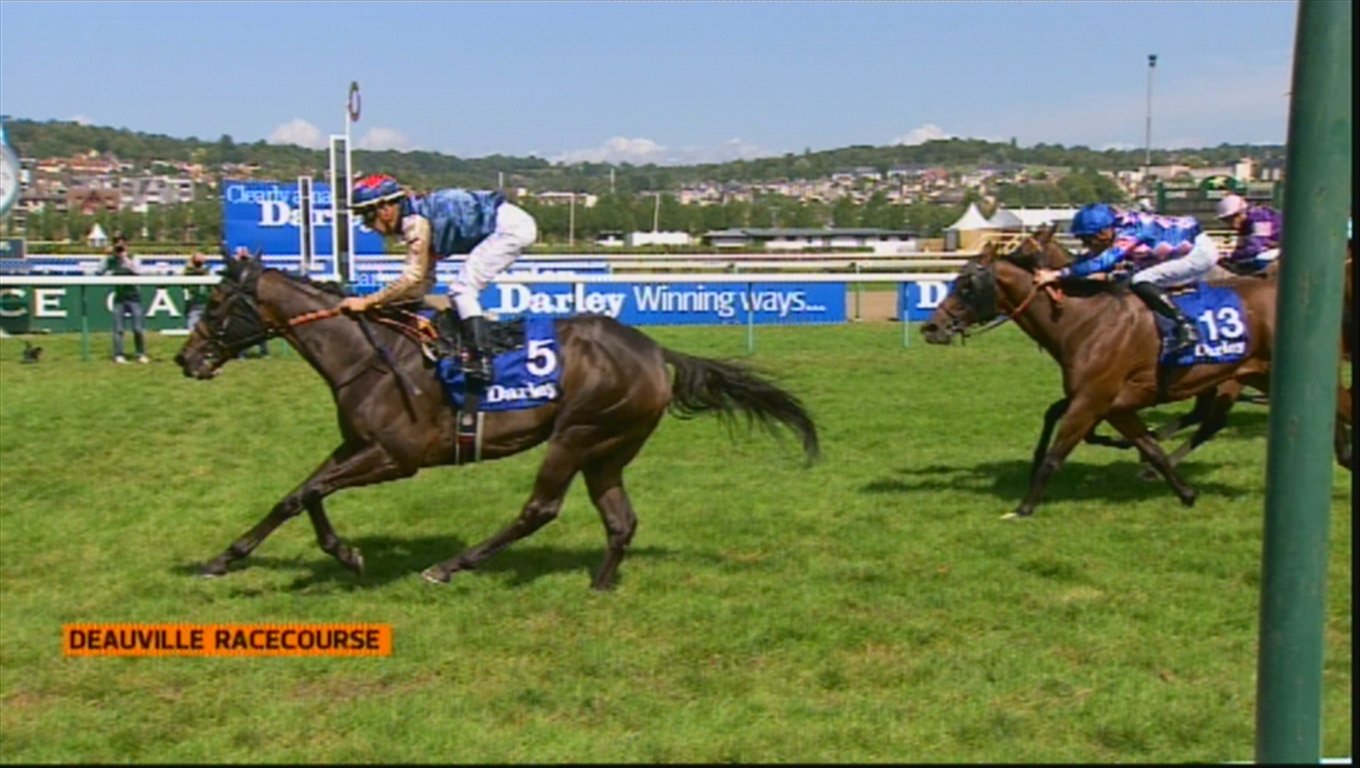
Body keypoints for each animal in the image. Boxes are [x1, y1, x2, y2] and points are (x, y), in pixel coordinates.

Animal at [173, 259, 820, 590]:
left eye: (214, 304)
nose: (186, 358)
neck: (369, 354)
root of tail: (655, 350)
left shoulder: (397, 457)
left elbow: (308, 493)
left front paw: (345, 556)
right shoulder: (356, 443)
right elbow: (296, 495)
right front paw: (226, 558)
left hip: (577, 434)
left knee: (540, 509)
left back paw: (449, 567)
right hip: (610, 448)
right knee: (620, 519)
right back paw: (600, 583)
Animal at [918, 238, 1352, 518]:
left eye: (967, 284)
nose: (931, 327)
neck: (1083, 319)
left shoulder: (1091, 400)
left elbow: (1057, 453)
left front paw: (1024, 507)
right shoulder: (1114, 404)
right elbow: (1152, 448)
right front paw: (1185, 492)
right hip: (1260, 375)